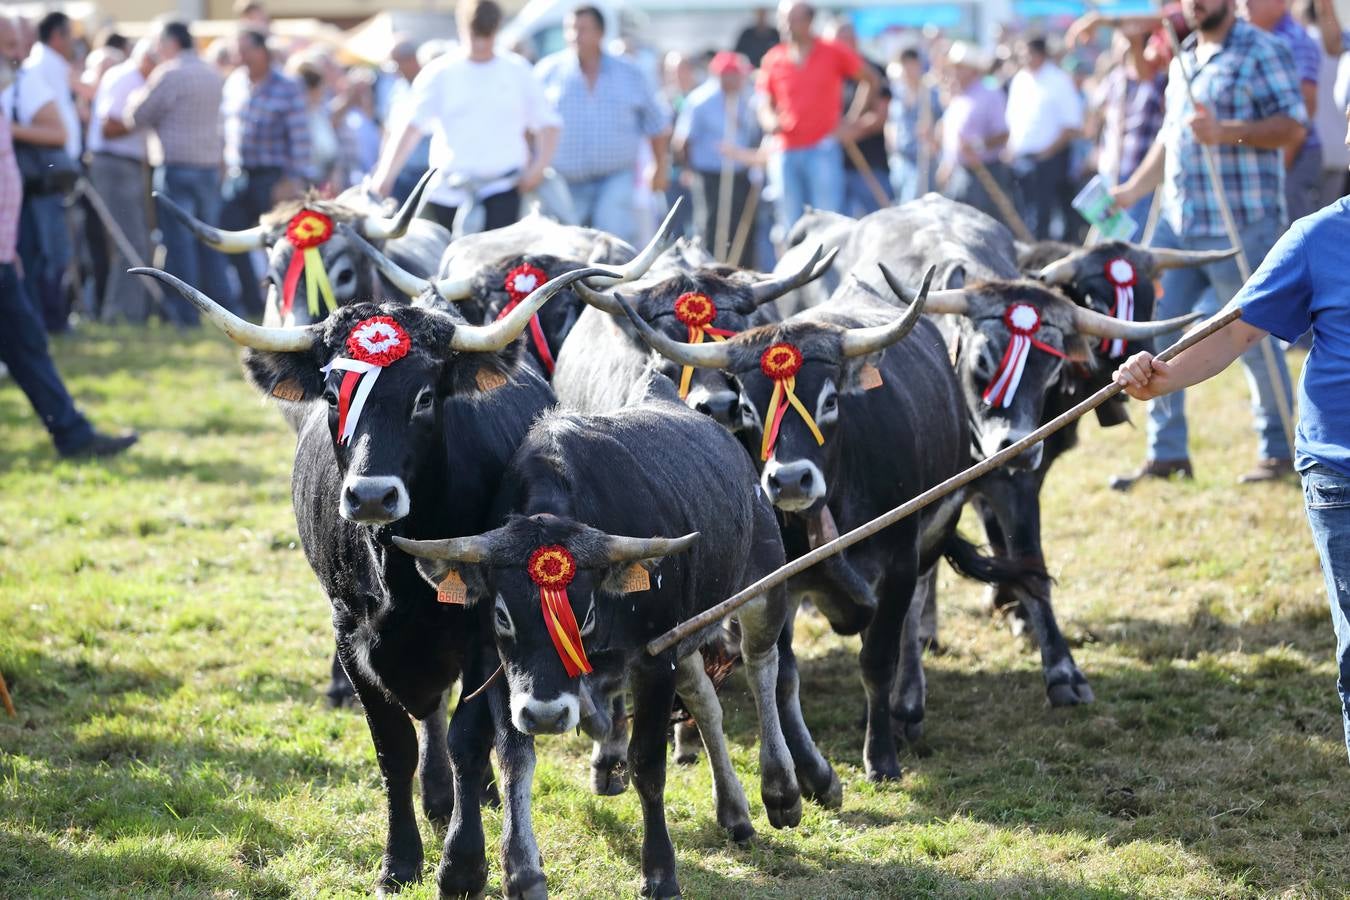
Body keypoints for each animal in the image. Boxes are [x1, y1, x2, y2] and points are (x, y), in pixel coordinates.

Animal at [131, 260, 607, 895]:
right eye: (336, 394)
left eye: (425, 397)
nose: (372, 495)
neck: (399, 571)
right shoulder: (350, 634)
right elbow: (394, 747)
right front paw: (400, 861)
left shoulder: (484, 629)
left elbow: (469, 738)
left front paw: (462, 865)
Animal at [391, 369, 831, 895]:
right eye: (501, 615)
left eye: (584, 617)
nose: (545, 715)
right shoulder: (500, 667)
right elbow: (514, 757)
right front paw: (519, 870)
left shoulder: (655, 659)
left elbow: (647, 763)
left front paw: (660, 870)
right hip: (689, 635)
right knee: (705, 699)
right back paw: (734, 810)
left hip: (761, 587)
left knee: (764, 667)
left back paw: (781, 789)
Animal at [615, 265, 1042, 782]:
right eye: (748, 407)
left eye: (832, 401)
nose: (790, 479)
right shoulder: (777, 582)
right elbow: (783, 674)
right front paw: (810, 768)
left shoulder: (900, 562)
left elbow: (878, 658)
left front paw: (881, 756)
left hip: (933, 534)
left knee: (913, 619)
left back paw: (906, 709)